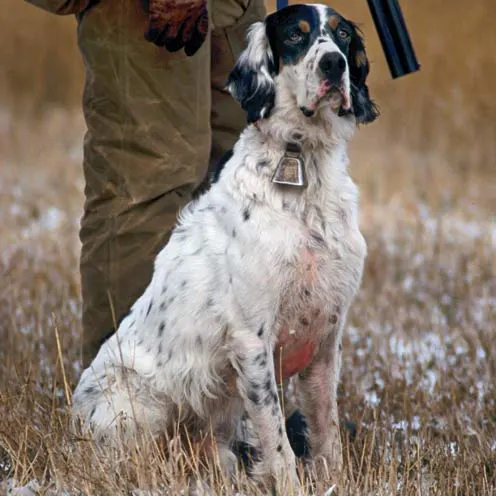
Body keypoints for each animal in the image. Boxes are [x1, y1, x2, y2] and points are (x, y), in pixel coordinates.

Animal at [71, 3, 378, 490]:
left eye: (342, 34)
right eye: (296, 35)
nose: (334, 64)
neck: (302, 163)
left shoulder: (327, 337)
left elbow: (325, 433)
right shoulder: (253, 342)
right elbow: (278, 444)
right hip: (136, 406)